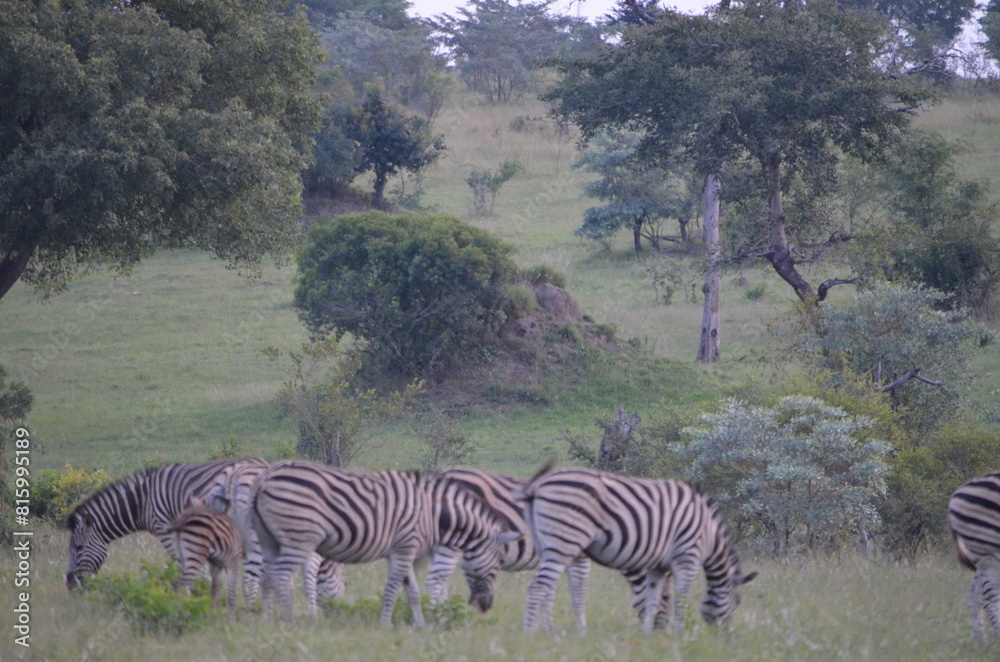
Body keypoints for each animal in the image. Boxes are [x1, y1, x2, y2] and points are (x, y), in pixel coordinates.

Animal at [250, 460, 521, 626]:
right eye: (499, 562)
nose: (486, 606)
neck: (433, 514)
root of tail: (265, 476)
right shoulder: (403, 550)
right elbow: (393, 589)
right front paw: (385, 625)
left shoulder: (406, 553)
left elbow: (412, 592)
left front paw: (420, 625)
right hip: (297, 538)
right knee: (280, 577)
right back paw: (292, 621)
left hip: (269, 539)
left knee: (267, 577)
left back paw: (268, 621)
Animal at [422, 468, 593, 626]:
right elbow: (578, 590)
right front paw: (579, 630)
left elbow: (550, 591)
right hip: (452, 542)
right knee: (434, 581)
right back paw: (435, 620)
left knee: (442, 583)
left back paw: (443, 617)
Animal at [515, 463, 757, 635]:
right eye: (738, 602)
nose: (724, 635)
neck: (709, 535)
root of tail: (539, 485)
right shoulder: (688, 557)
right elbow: (682, 598)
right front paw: (682, 634)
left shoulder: (658, 567)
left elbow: (652, 600)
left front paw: (647, 635)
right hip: (564, 540)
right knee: (538, 588)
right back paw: (529, 635)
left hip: (546, 544)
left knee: (548, 588)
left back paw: (550, 633)